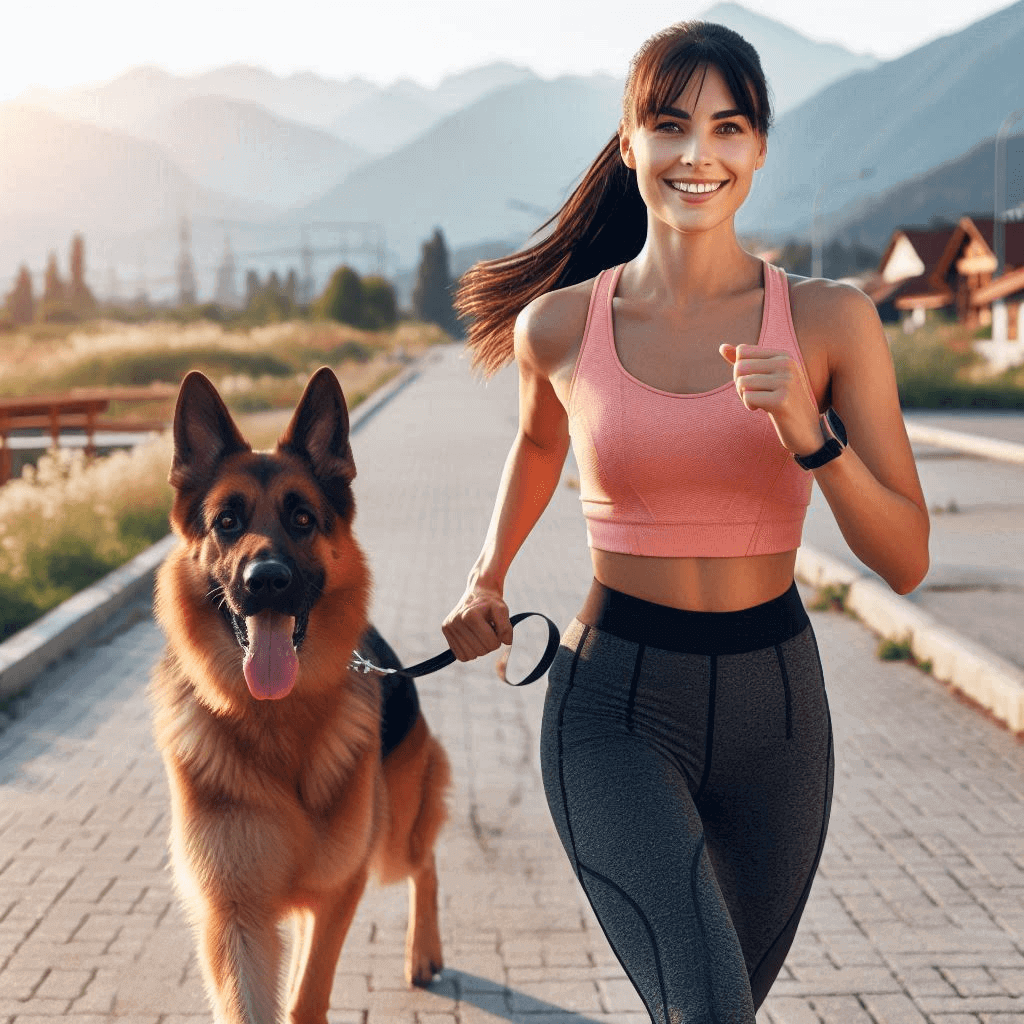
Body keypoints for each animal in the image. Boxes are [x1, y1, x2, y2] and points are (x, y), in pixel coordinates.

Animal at [149, 368, 450, 1024]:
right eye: (227, 522)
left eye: (304, 519)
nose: (267, 582)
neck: (275, 723)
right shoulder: (235, 918)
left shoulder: (338, 889)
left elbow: (307, 998)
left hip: (391, 838)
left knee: (424, 863)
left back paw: (424, 951)